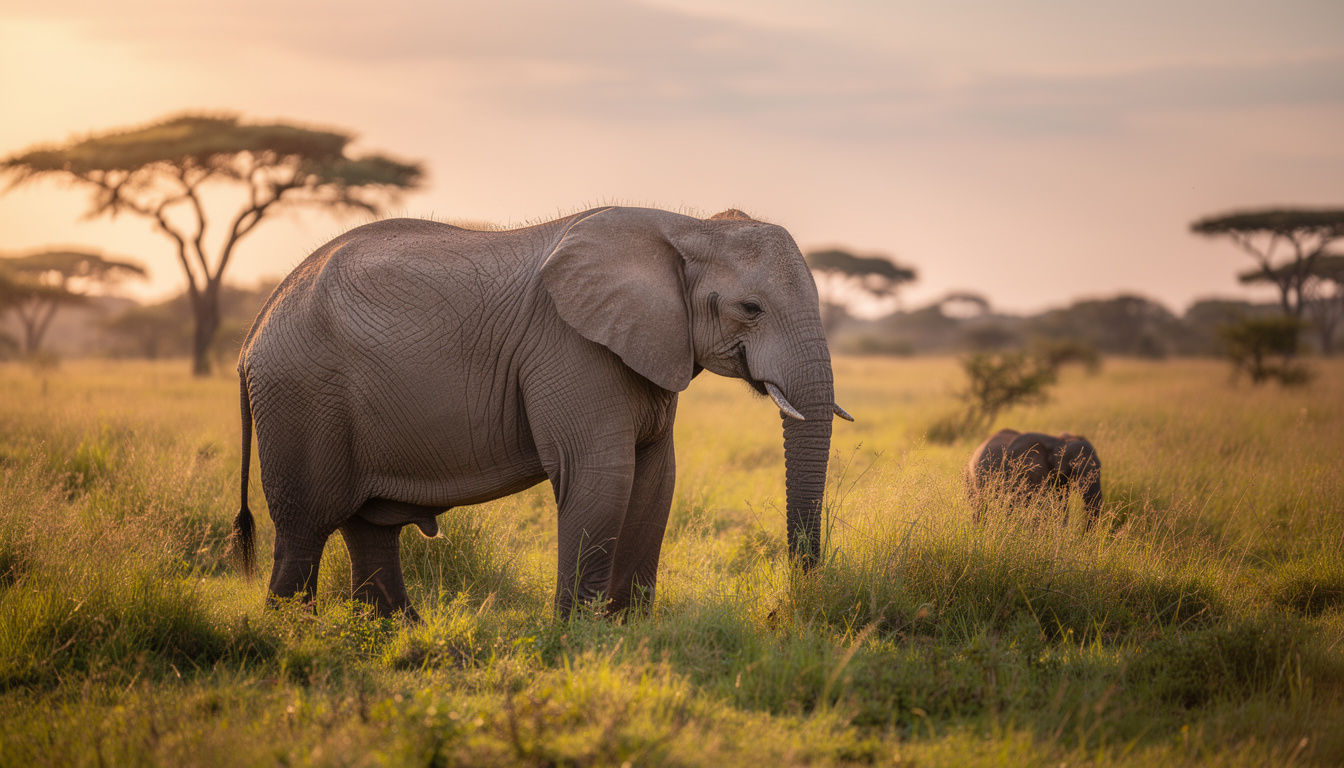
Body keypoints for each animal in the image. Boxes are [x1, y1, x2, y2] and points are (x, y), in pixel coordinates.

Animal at [229, 206, 851, 620]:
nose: (787, 607)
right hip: (301, 396)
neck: (686, 226)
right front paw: (581, 635)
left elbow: (656, 480)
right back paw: (295, 635)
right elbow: (601, 475)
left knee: (367, 526)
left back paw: (395, 635)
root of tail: (255, 328)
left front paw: (630, 631)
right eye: (751, 308)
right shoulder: (569, 346)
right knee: (306, 525)